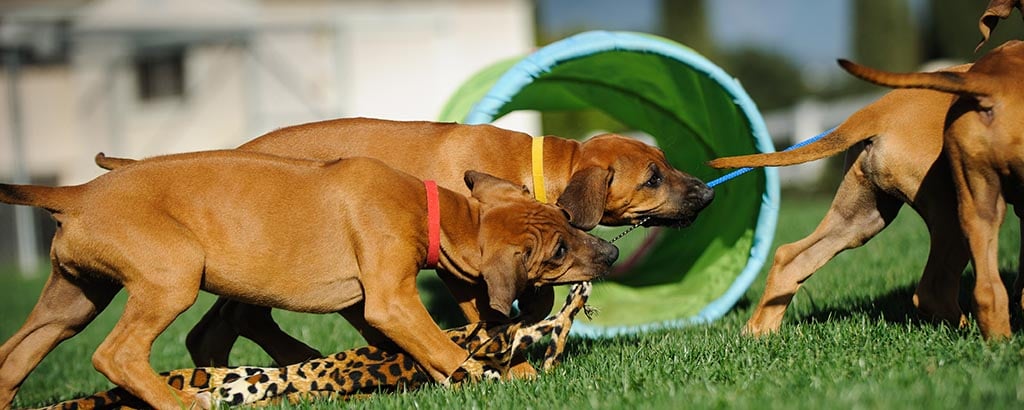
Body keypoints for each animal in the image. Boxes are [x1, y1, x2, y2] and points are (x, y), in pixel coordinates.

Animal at [0, 151, 614, 407]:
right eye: (559, 250)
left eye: (564, 219)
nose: (609, 252)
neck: (431, 208)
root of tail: (76, 193)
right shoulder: (389, 303)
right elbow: (444, 347)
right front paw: (492, 378)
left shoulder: (377, 309)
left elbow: (423, 346)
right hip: (173, 274)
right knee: (118, 355)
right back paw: (186, 403)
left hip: (71, 300)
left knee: (13, 357)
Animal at [99, 116, 716, 366]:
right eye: (653, 179)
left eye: (665, 162)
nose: (707, 194)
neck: (538, 165)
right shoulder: (458, 260)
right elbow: (485, 306)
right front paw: (492, 339)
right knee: (240, 319)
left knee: (216, 328)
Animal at [708, 68, 970, 336]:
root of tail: (877, 110)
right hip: (950, 210)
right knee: (933, 289)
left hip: (860, 216)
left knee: (790, 256)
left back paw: (759, 333)